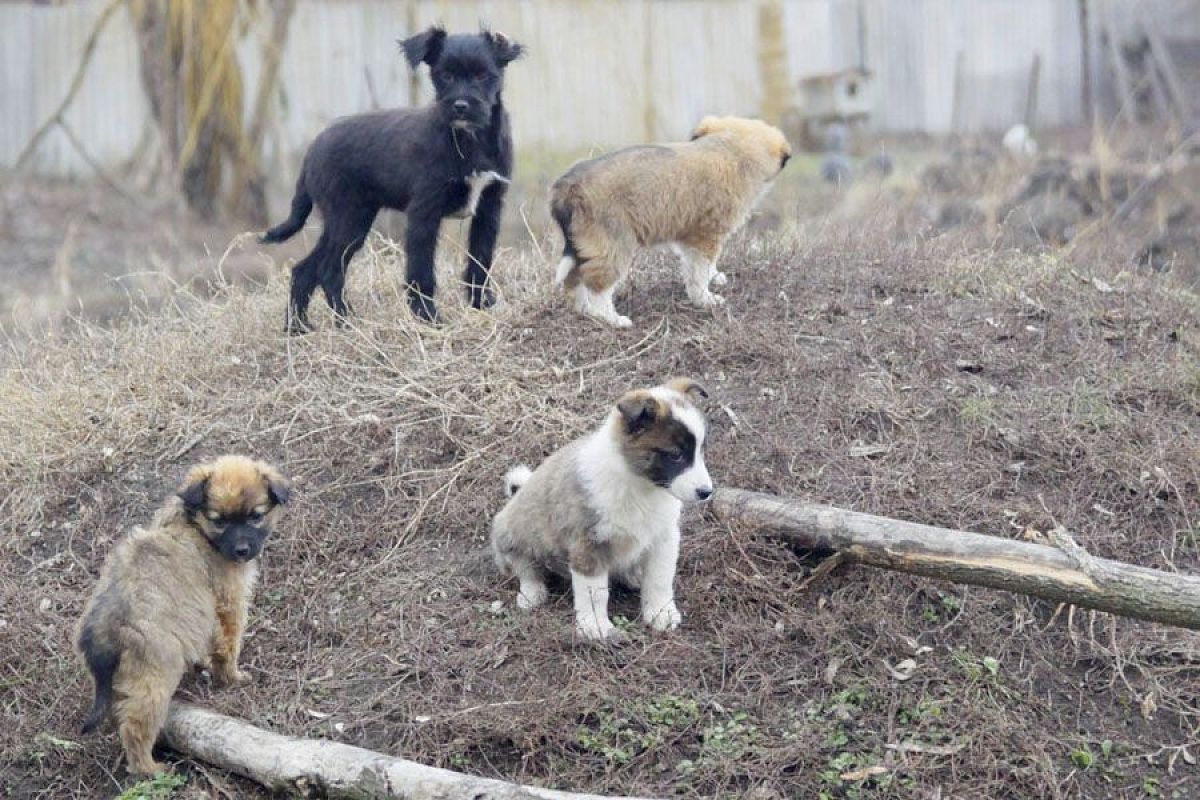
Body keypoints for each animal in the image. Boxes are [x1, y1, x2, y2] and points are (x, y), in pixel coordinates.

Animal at [76, 455, 289, 777]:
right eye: (219, 520)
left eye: (255, 516)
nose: (242, 550)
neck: (196, 526)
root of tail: (103, 629)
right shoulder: (229, 604)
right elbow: (228, 647)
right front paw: (232, 677)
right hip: (155, 676)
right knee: (135, 728)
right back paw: (151, 769)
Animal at [260, 25, 523, 331]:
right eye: (445, 75)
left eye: (483, 75)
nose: (460, 106)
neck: (469, 139)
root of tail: (311, 150)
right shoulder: (424, 212)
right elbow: (421, 270)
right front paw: (427, 317)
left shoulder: (490, 206)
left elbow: (480, 260)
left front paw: (481, 306)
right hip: (348, 218)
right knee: (328, 269)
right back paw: (341, 322)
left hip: (349, 220)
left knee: (307, 269)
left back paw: (302, 328)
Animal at [489, 376, 710, 642]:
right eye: (675, 455)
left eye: (700, 450)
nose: (707, 492)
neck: (639, 486)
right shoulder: (589, 545)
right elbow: (595, 593)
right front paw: (595, 627)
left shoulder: (663, 537)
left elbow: (660, 578)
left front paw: (661, 613)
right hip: (511, 534)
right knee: (526, 568)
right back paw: (532, 593)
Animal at [549, 113, 792, 326]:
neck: (729, 146)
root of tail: (566, 188)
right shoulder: (707, 234)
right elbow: (699, 271)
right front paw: (705, 299)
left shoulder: (690, 234)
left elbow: (700, 266)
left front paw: (715, 278)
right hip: (612, 244)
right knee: (597, 285)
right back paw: (612, 319)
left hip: (583, 244)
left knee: (573, 280)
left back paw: (583, 310)